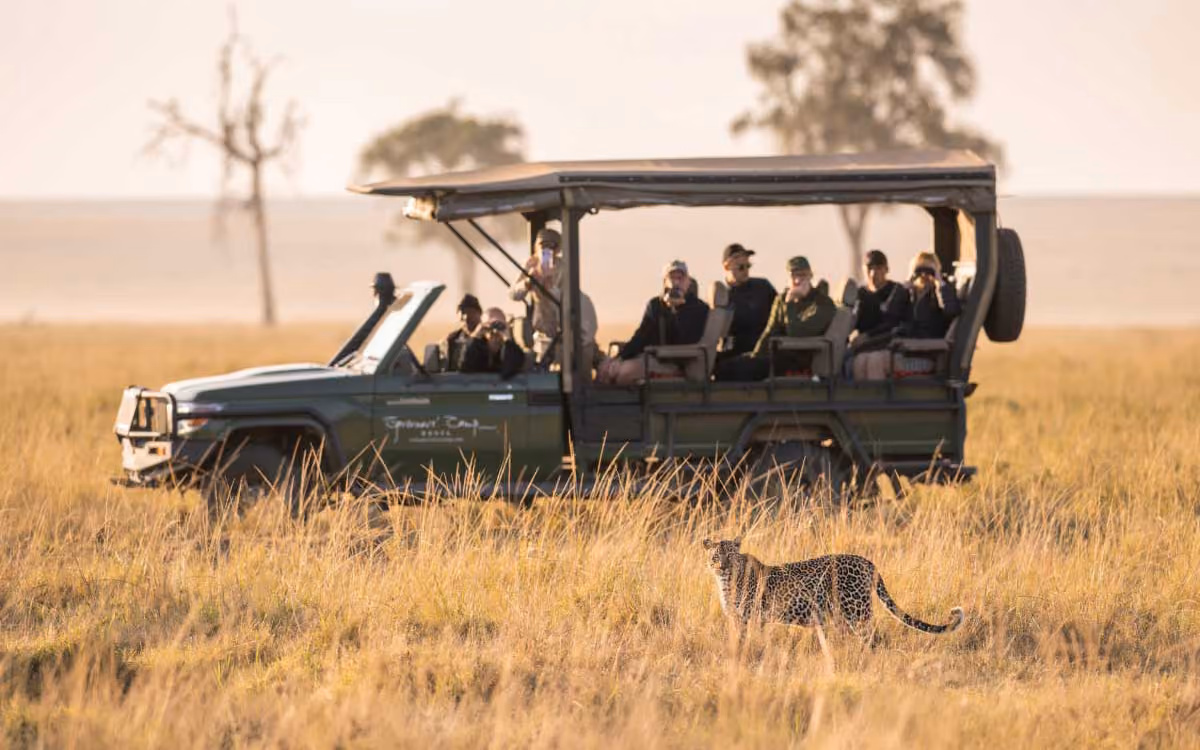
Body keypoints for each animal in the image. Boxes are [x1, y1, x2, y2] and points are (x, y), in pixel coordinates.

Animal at [702, 538, 963, 635]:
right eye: (715, 556)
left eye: (730, 556)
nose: (722, 567)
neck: (726, 583)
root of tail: (867, 562)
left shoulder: (750, 618)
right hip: (843, 615)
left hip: (857, 610)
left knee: (872, 637)